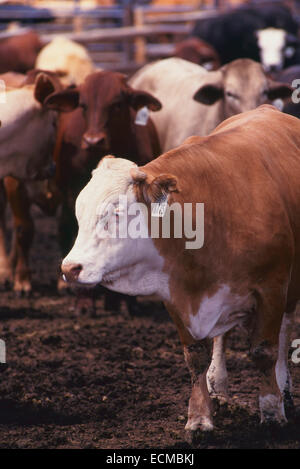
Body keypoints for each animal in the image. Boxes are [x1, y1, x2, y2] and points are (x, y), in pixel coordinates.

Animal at [0, 70, 162, 310]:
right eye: (83, 105)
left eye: (118, 104)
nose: (93, 140)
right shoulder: (18, 185)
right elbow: (25, 230)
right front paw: (23, 283)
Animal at [61, 104, 300, 440]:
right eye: (79, 213)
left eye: (117, 212)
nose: (70, 268)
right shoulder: (176, 294)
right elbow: (195, 356)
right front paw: (200, 417)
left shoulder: (273, 287)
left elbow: (264, 350)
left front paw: (272, 411)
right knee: (222, 338)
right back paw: (219, 387)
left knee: (283, 333)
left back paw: (284, 390)